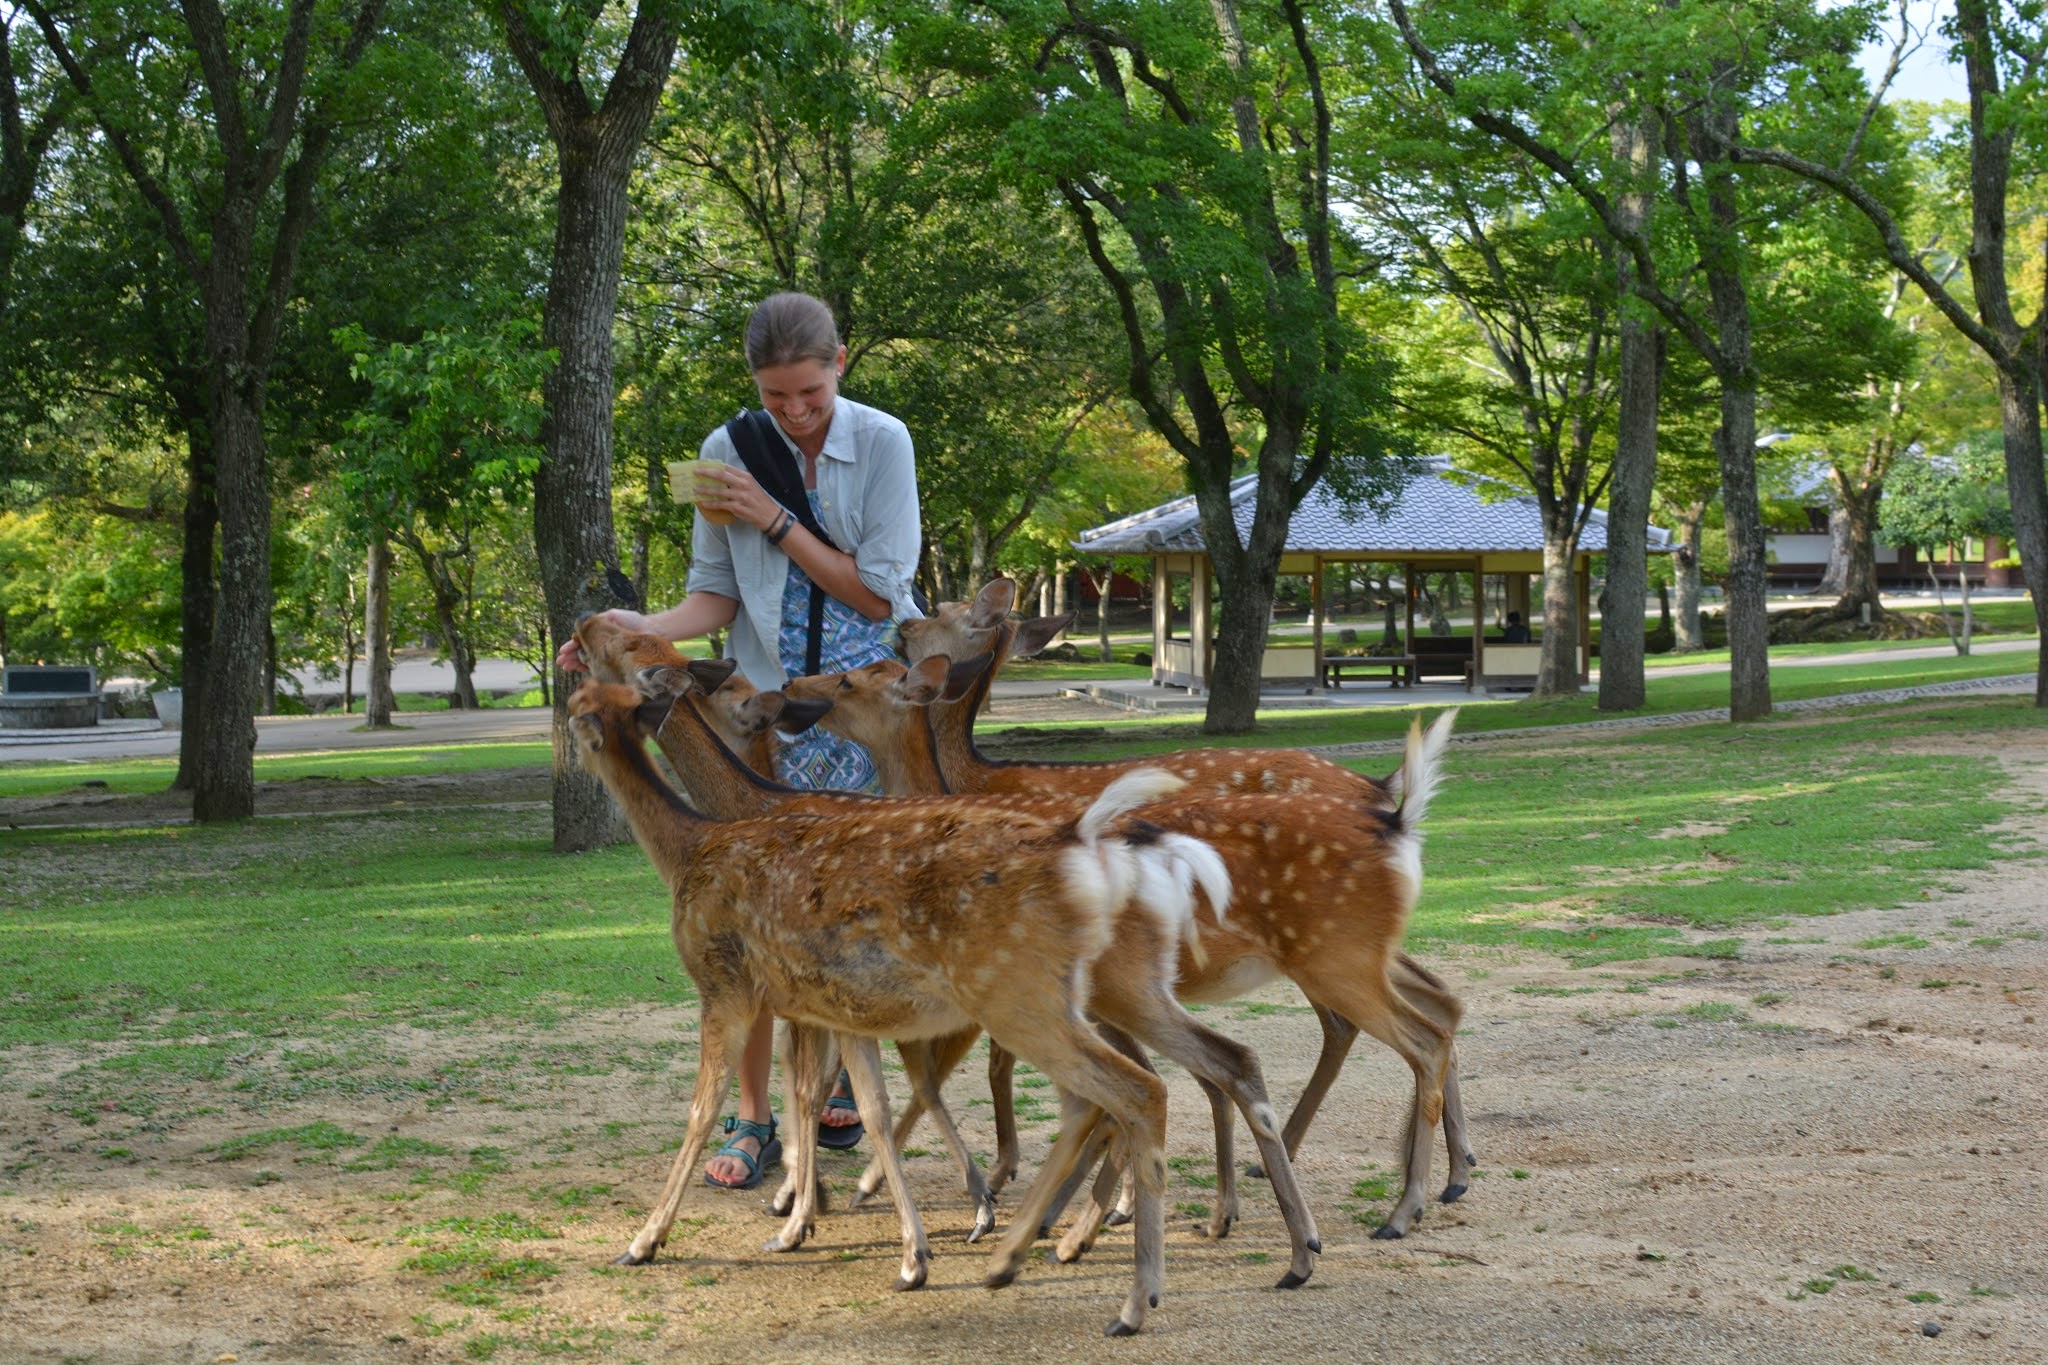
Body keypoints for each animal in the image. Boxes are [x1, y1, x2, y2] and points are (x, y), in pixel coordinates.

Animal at [569, 675, 1248, 1335]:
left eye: (574, 703)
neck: (688, 850)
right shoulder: (829, 1008)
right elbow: (858, 1105)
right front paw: (889, 1246)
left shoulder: (725, 985)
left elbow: (705, 1109)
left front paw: (647, 1241)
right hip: (1076, 996)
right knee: (1144, 1084)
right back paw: (1036, 1251)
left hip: (1019, 995)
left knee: (1136, 1090)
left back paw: (1128, 1296)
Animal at [783, 648, 1468, 1242]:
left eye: (847, 679)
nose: (792, 683)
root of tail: (1392, 808)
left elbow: (965, 1070)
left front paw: (879, 1186)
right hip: (1344, 954)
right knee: (1437, 1004)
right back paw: (1445, 1176)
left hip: (1331, 958)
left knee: (1410, 1031)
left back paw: (1401, 1205)